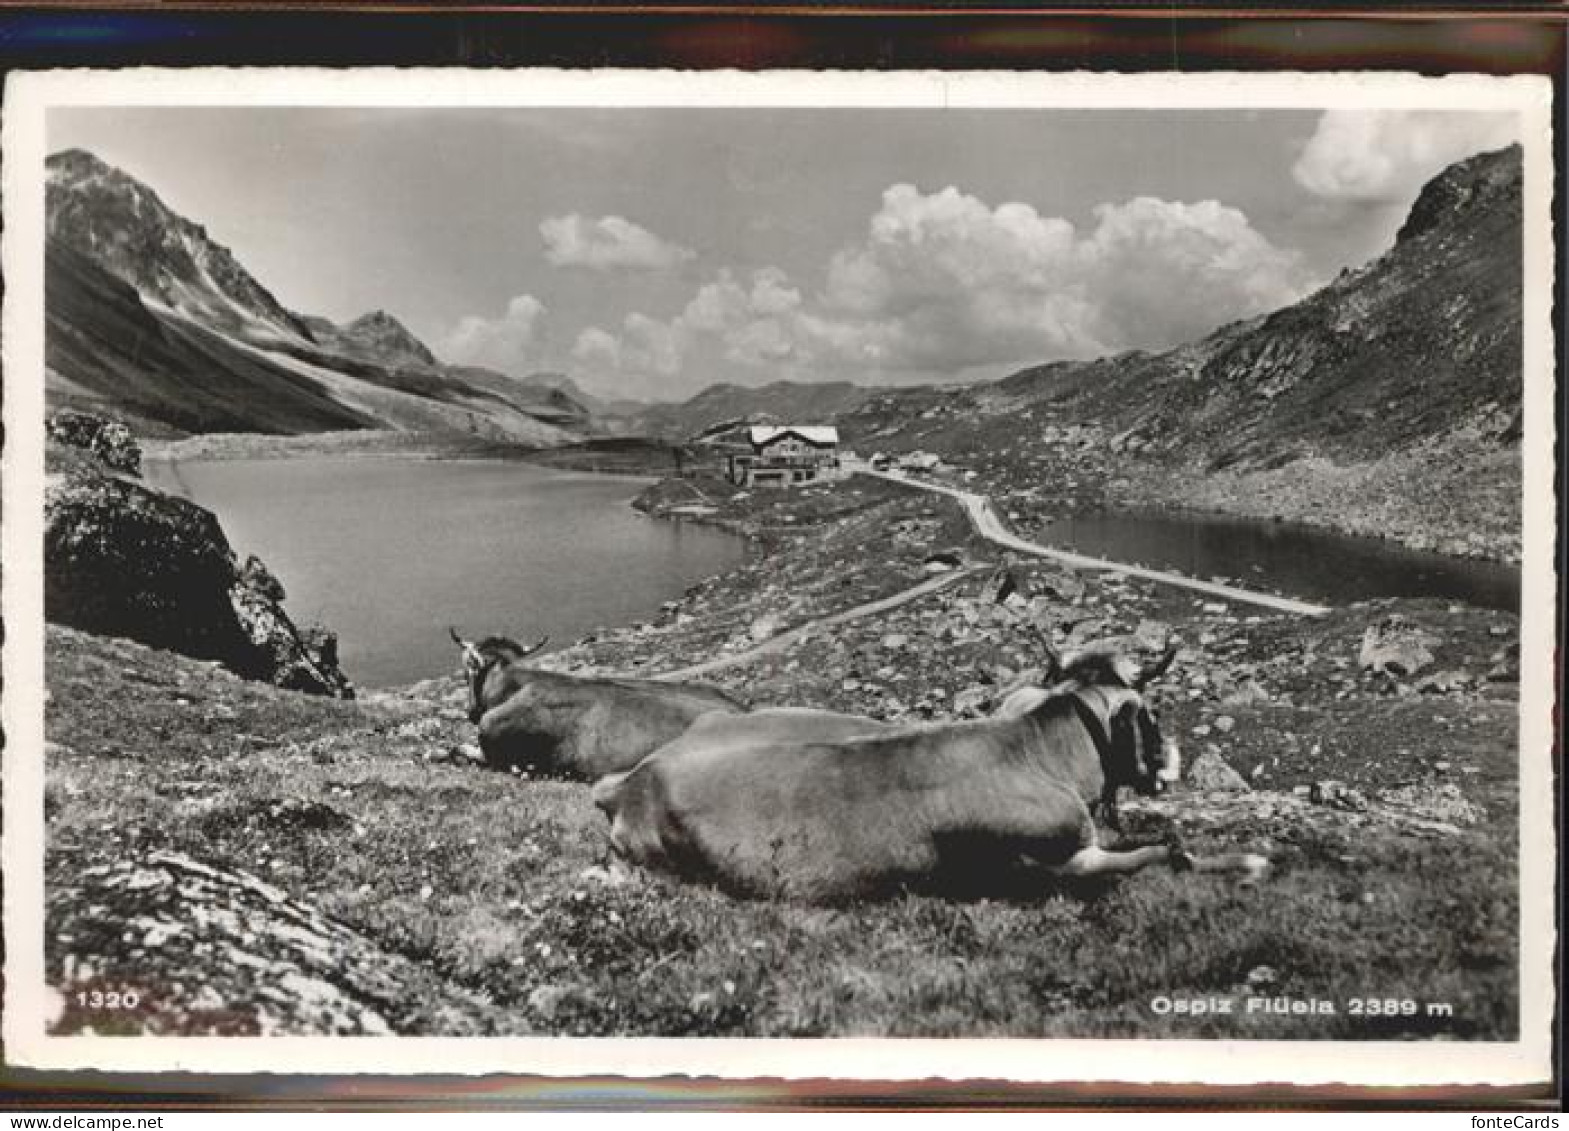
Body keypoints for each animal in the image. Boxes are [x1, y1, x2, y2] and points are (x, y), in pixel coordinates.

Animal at [593, 643, 1267, 897]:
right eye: (1150, 713)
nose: (1172, 761)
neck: (1040, 752)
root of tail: (631, 784)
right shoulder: (1059, 856)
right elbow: (1166, 854)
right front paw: (1251, 860)